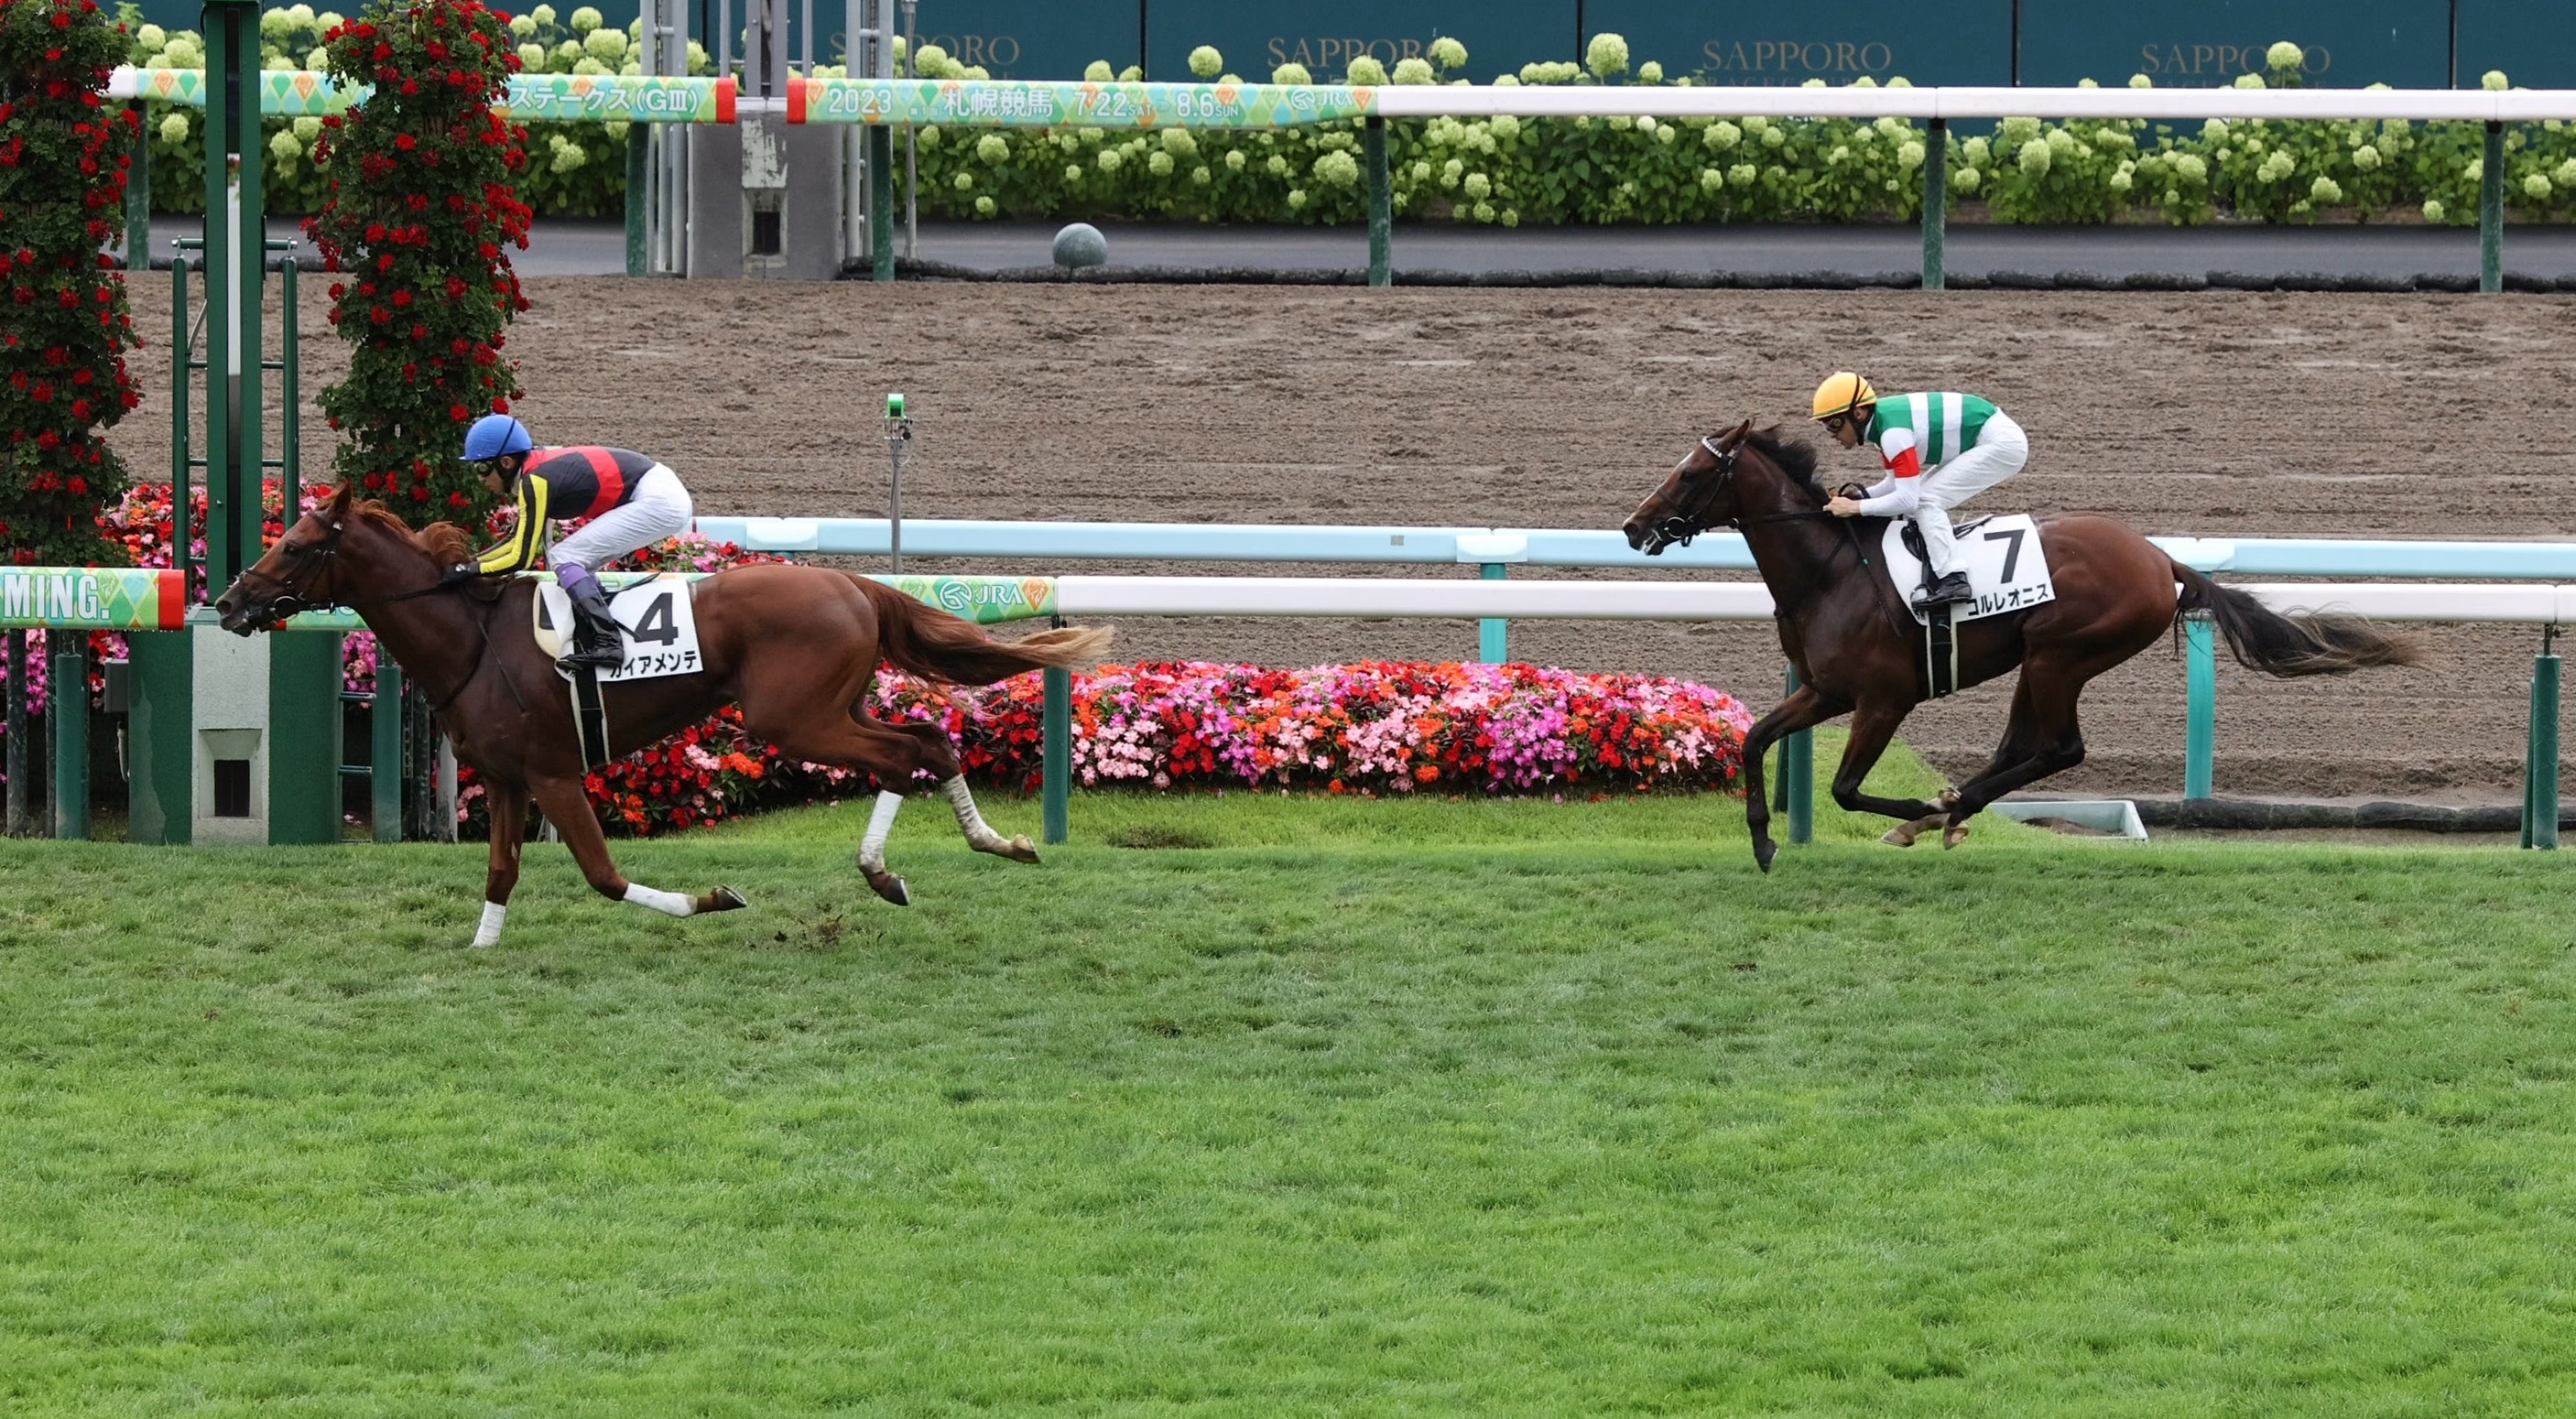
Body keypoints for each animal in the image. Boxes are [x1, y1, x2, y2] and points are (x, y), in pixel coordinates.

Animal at [213, 483, 1107, 948]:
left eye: (297, 546)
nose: (227, 602)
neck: (470, 639)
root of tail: (853, 584)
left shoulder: (551, 773)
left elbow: (604, 878)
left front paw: (715, 900)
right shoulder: (504, 779)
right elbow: (501, 872)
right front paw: (478, 951)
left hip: (794, 718)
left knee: (897, 757)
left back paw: (884, 874)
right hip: (833, 706)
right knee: (927, 738)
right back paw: (999, 842)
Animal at [1627, 417, 2410, 870]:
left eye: (1691, 474)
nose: (1635, 528)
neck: (1828, 572)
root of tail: (2161, 559)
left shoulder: (1884, 698)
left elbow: (1846, 790)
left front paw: (1916, 813)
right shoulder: (1823, 690)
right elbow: (1754, 740)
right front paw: (1762, 839)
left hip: (2062, 654)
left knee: (2061, 749)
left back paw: (1948, 811)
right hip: (2037, 662)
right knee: (2020, 747)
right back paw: (1954, 807)